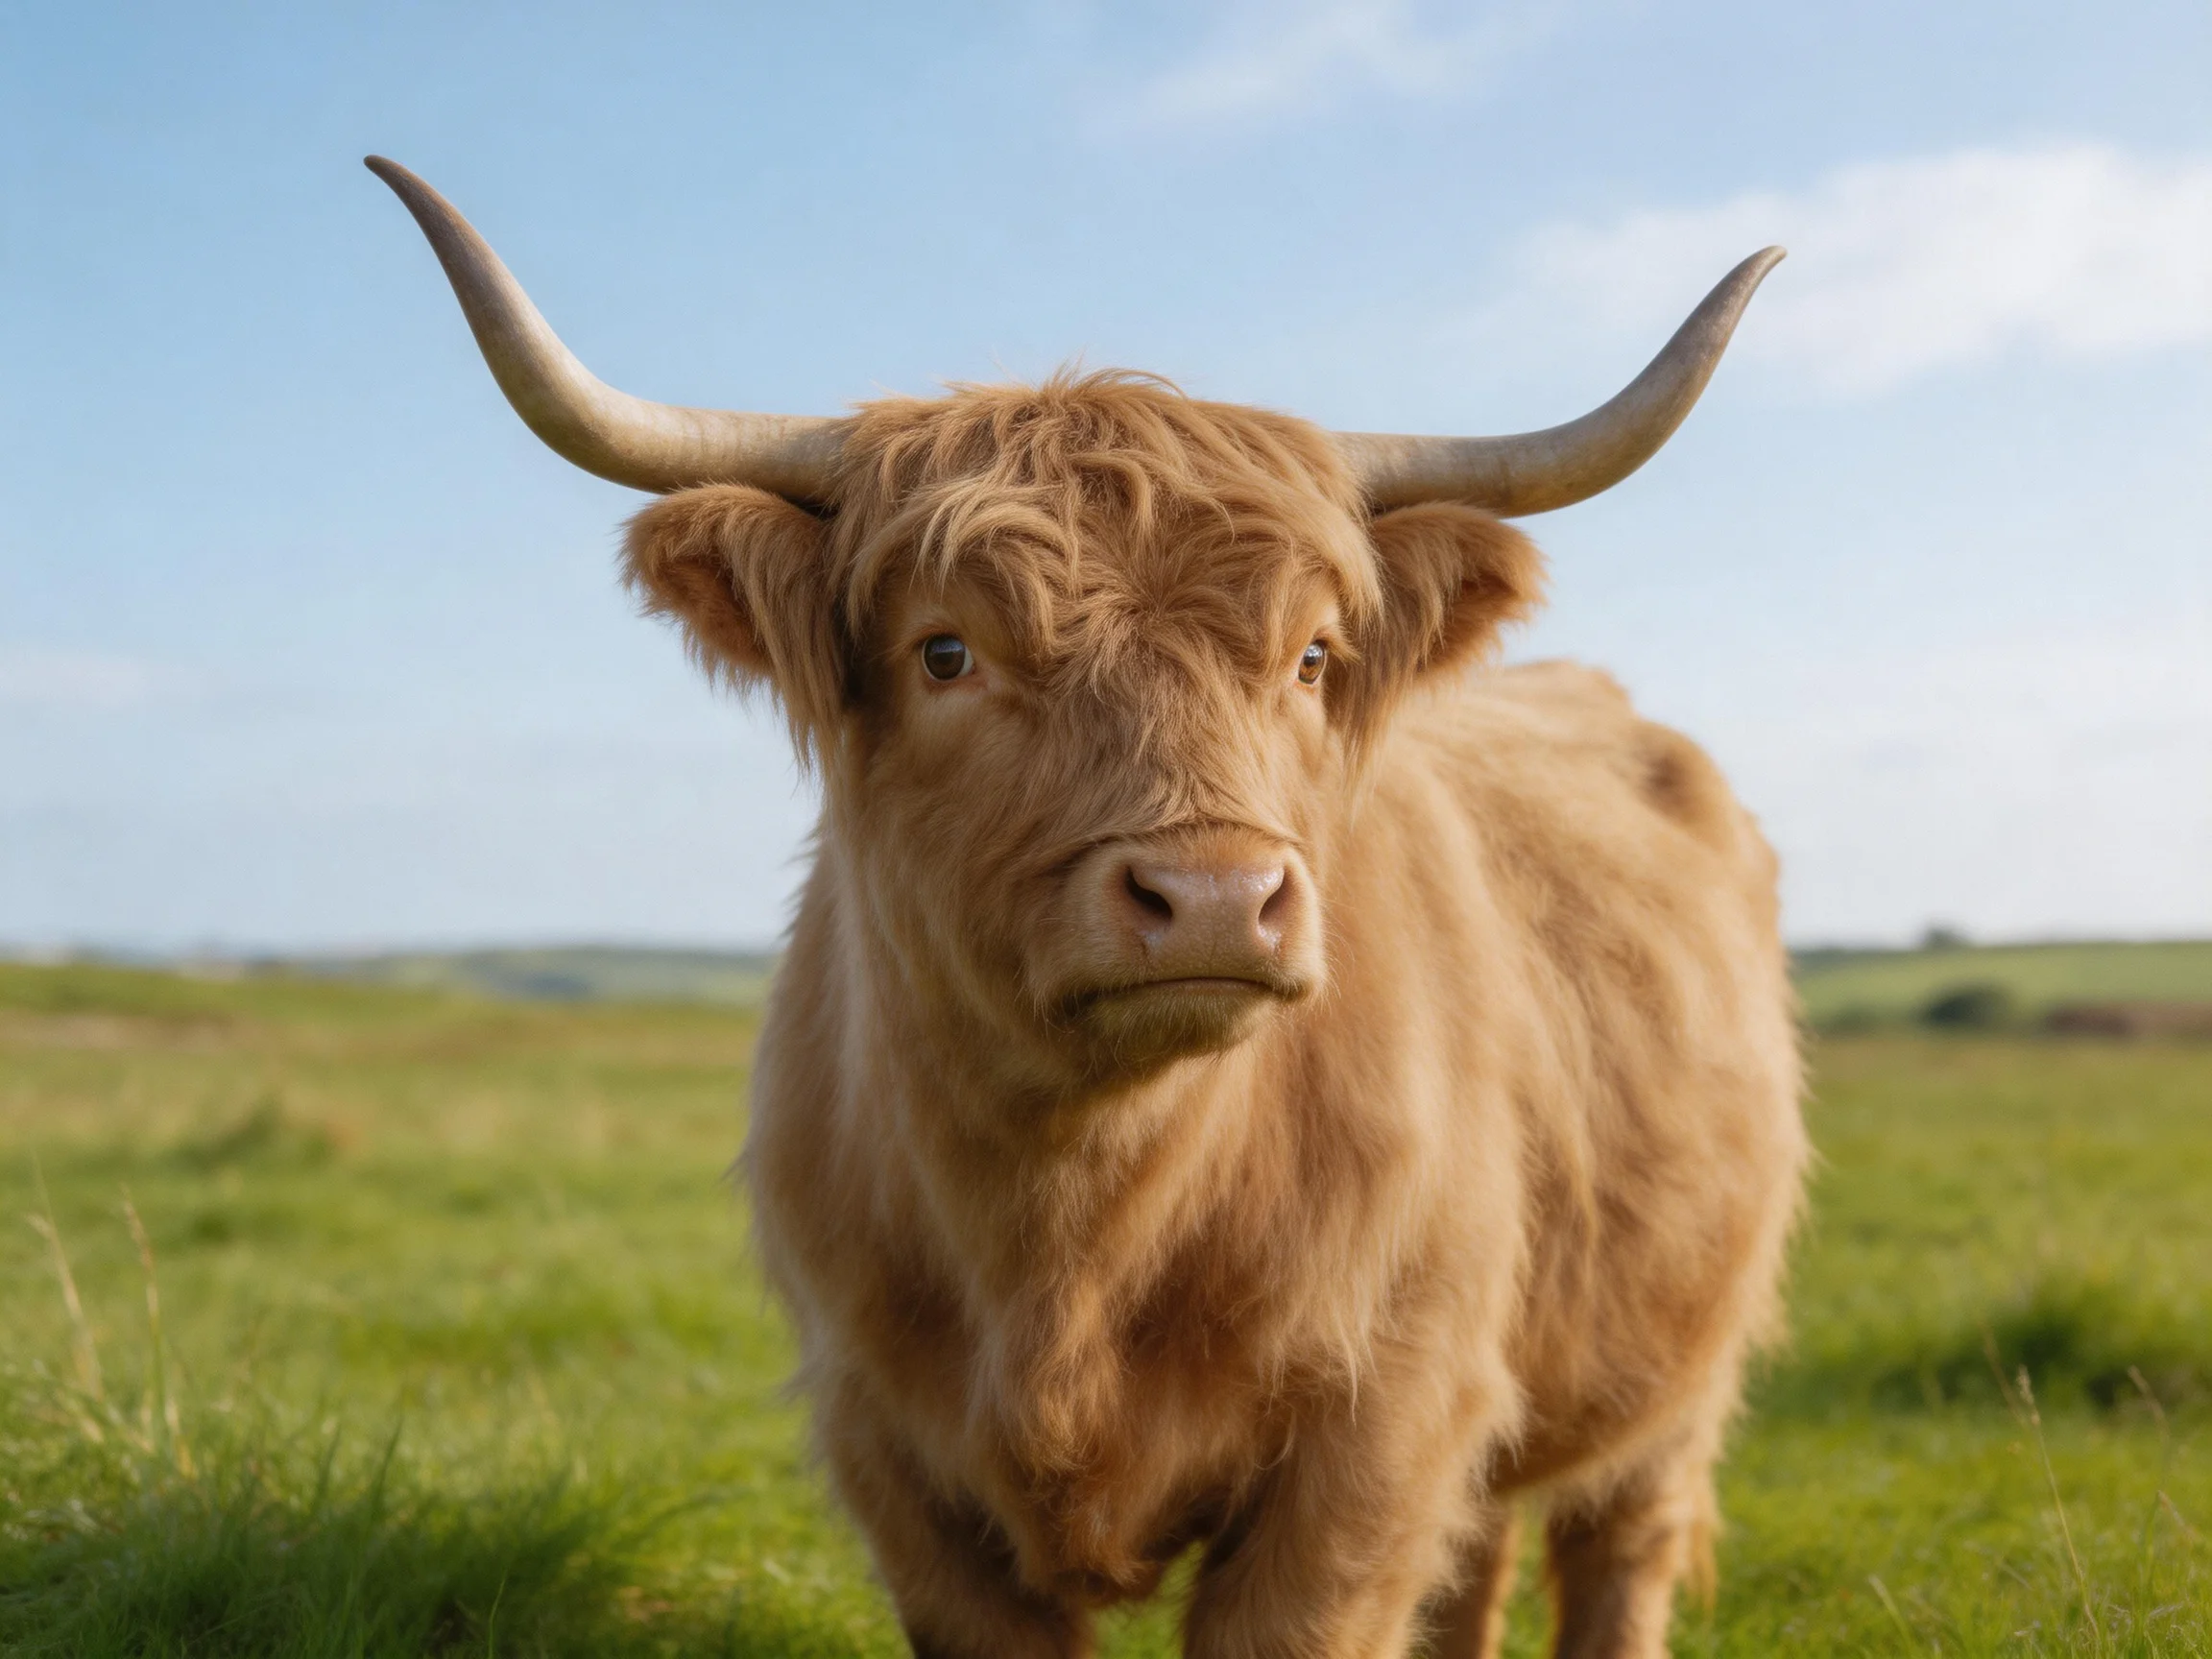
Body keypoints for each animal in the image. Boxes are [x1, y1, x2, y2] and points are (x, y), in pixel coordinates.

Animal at [371, 157, 1807, 1659]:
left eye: (1312, 657)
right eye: (946, 651)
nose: (1219, 899)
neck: (1070, 1235)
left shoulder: (1379, 1435)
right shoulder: (895, 1450)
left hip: (1676, 1370)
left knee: (1618, 1547)